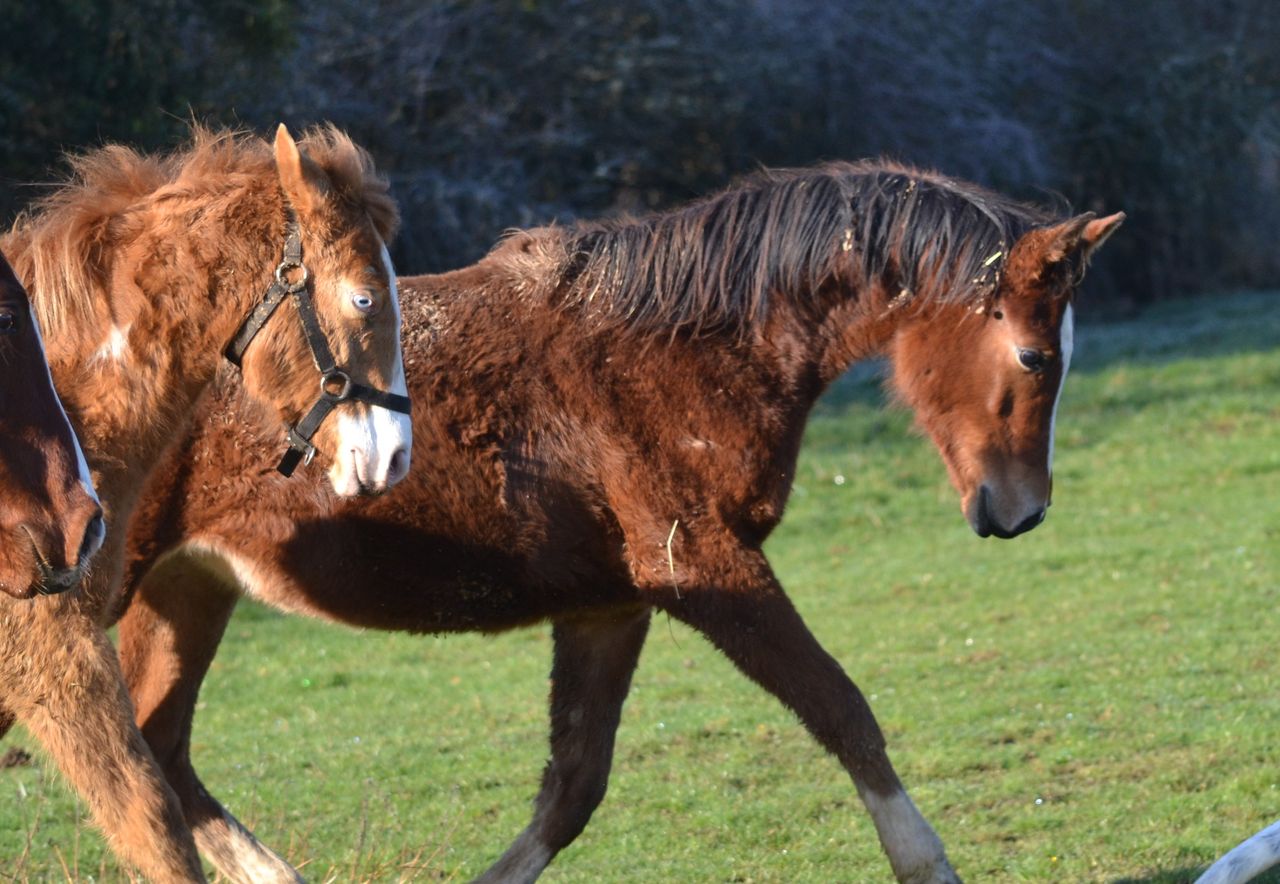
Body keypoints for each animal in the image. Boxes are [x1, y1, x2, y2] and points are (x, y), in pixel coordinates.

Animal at [117, 160, 1121, 884]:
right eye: (1035, 357)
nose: (1023, 511)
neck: (676, 348)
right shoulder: (707, 571)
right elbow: (843, 711)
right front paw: (927, 863)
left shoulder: (611, 605)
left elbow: (573, 787)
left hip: (185, 591)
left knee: (157, 751)